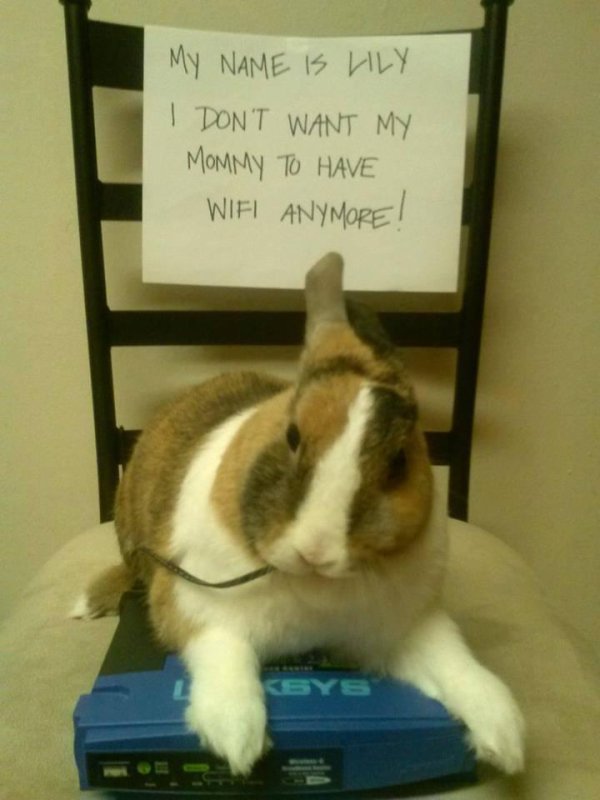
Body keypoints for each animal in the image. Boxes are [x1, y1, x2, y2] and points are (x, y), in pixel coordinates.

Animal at [73, 253, 525, 777]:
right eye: (291, 436)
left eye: (399, 462)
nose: (316, 550)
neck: (312, 590)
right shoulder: (195, 604)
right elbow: (224, 654)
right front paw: (236, 739)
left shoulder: (406, 626)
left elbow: (456, 662)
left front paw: (506, 735)